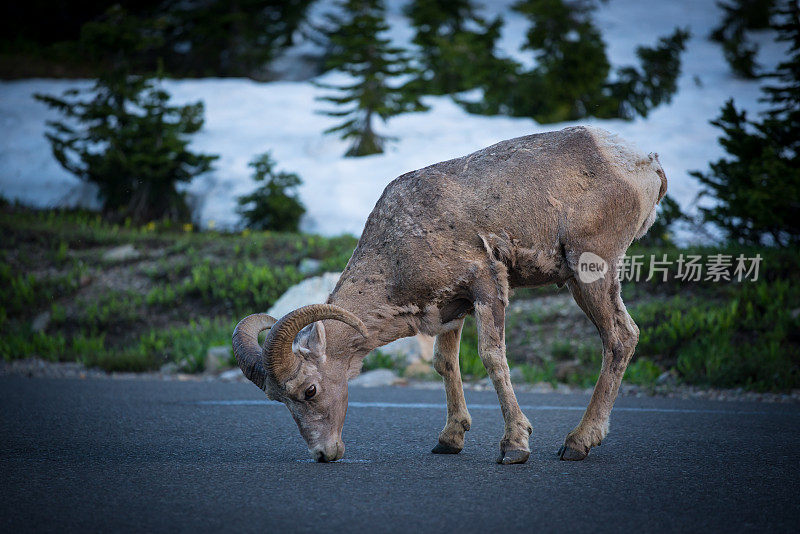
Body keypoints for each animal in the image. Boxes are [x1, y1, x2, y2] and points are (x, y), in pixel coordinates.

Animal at [233, 125, 668, 464]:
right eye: (280, 401)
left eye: (309, 391)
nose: (323, 454)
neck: (400, 244)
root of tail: (642, 164)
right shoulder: (451, 309)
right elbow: (445, 363)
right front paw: (449, 441)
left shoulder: (487, 285)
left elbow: (492, 358)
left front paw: (514, 446)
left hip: (590, 271)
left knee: (620, 337)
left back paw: (577, 444)